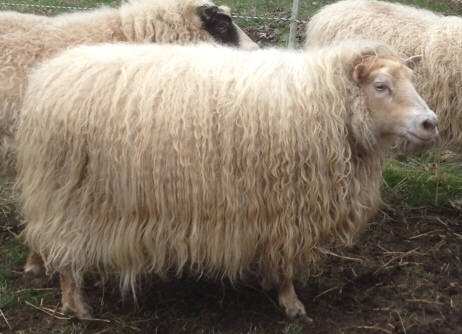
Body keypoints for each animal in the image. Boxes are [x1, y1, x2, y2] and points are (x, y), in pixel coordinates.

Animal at [16, 39, 438, 320]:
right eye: (381, 86)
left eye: (411, 80)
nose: (430, 123)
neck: (323, 105)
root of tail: (46, 77)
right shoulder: (288, 206)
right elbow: (287, 262)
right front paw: (291, 303)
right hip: (69, 193)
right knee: (65, 250)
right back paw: (75, 306)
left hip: (53, 187)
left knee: (42, 231)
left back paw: (36, 265)